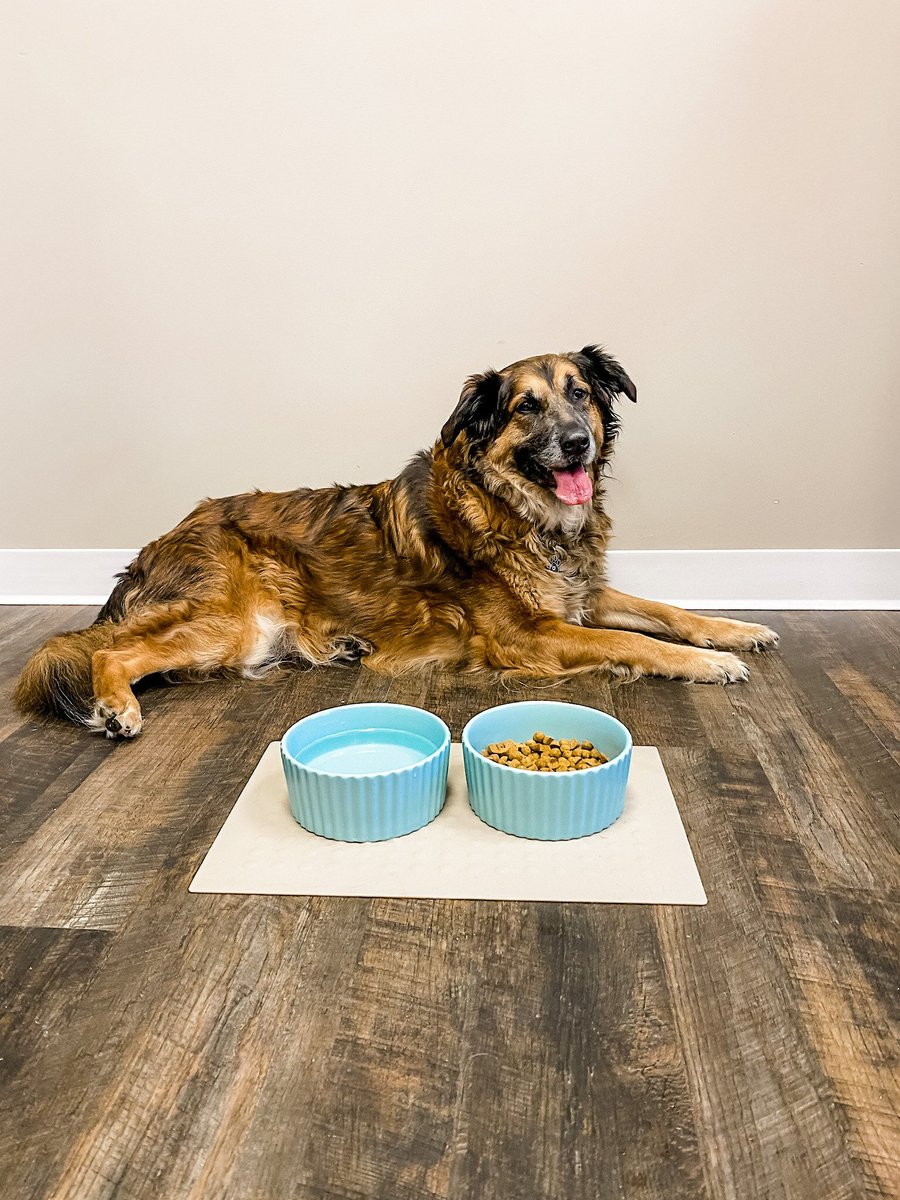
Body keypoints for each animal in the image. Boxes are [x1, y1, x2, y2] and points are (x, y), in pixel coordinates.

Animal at [17, 345, 782, 739]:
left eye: (581, 394)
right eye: (525, 407)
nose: (577, 444)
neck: (514, 511)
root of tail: (163, 540)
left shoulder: (581, 597)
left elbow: (664, 611)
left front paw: (735, 631)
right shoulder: (530, 635)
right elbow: (634, 641)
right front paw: (708, 665)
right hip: (228, 620)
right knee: (110, 651)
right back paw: (118, 706)